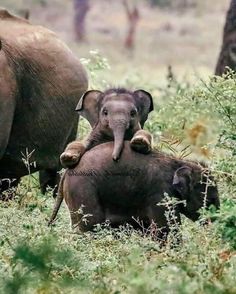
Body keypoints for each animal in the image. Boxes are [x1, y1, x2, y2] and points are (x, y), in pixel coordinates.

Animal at [48, 142, 220, 241]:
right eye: (210, 200)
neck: (177, 161)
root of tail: (66, 172)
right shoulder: (160, 194)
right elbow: (165, 229)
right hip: (83, 191)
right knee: (90, 227)